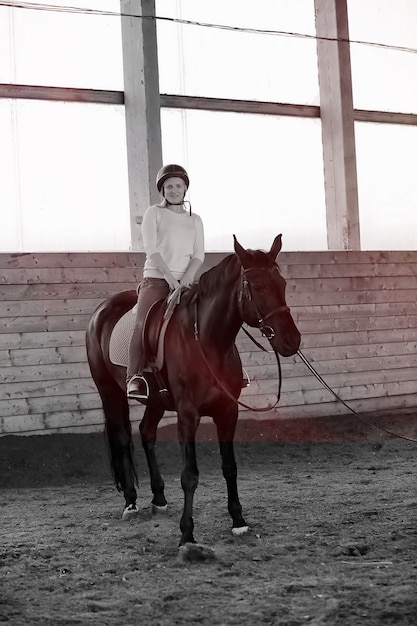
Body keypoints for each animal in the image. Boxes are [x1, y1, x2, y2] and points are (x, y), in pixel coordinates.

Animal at [85, 235, 300, 544]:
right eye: (257, 287)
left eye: (282, 284)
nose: (291, 341)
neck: (208, 342)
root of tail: (102, 310)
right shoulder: (188, 415)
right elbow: (190, 475)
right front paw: (187, 534)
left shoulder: (228, 411)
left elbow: (230, 467)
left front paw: (238, 520)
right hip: (109, 392)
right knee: (123, 439)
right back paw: (131, 502)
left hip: (156, 400)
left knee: (147, 433)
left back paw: (159, 498)